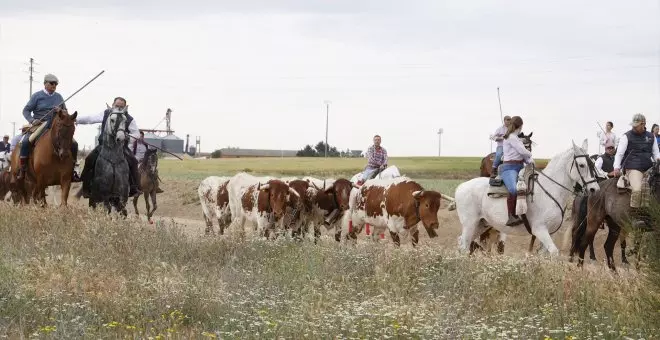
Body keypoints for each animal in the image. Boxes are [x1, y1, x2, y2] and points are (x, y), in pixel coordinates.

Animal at [456, 139, 600, 255]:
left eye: (593, 164)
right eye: (582, 165)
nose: (595, 189)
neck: (550, 190)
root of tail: (460, 187)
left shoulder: (550, 233)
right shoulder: (540, 230)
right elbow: (554, 252)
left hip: (481, 224)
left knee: (463, 243)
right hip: (470, 224)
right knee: (464, 246)